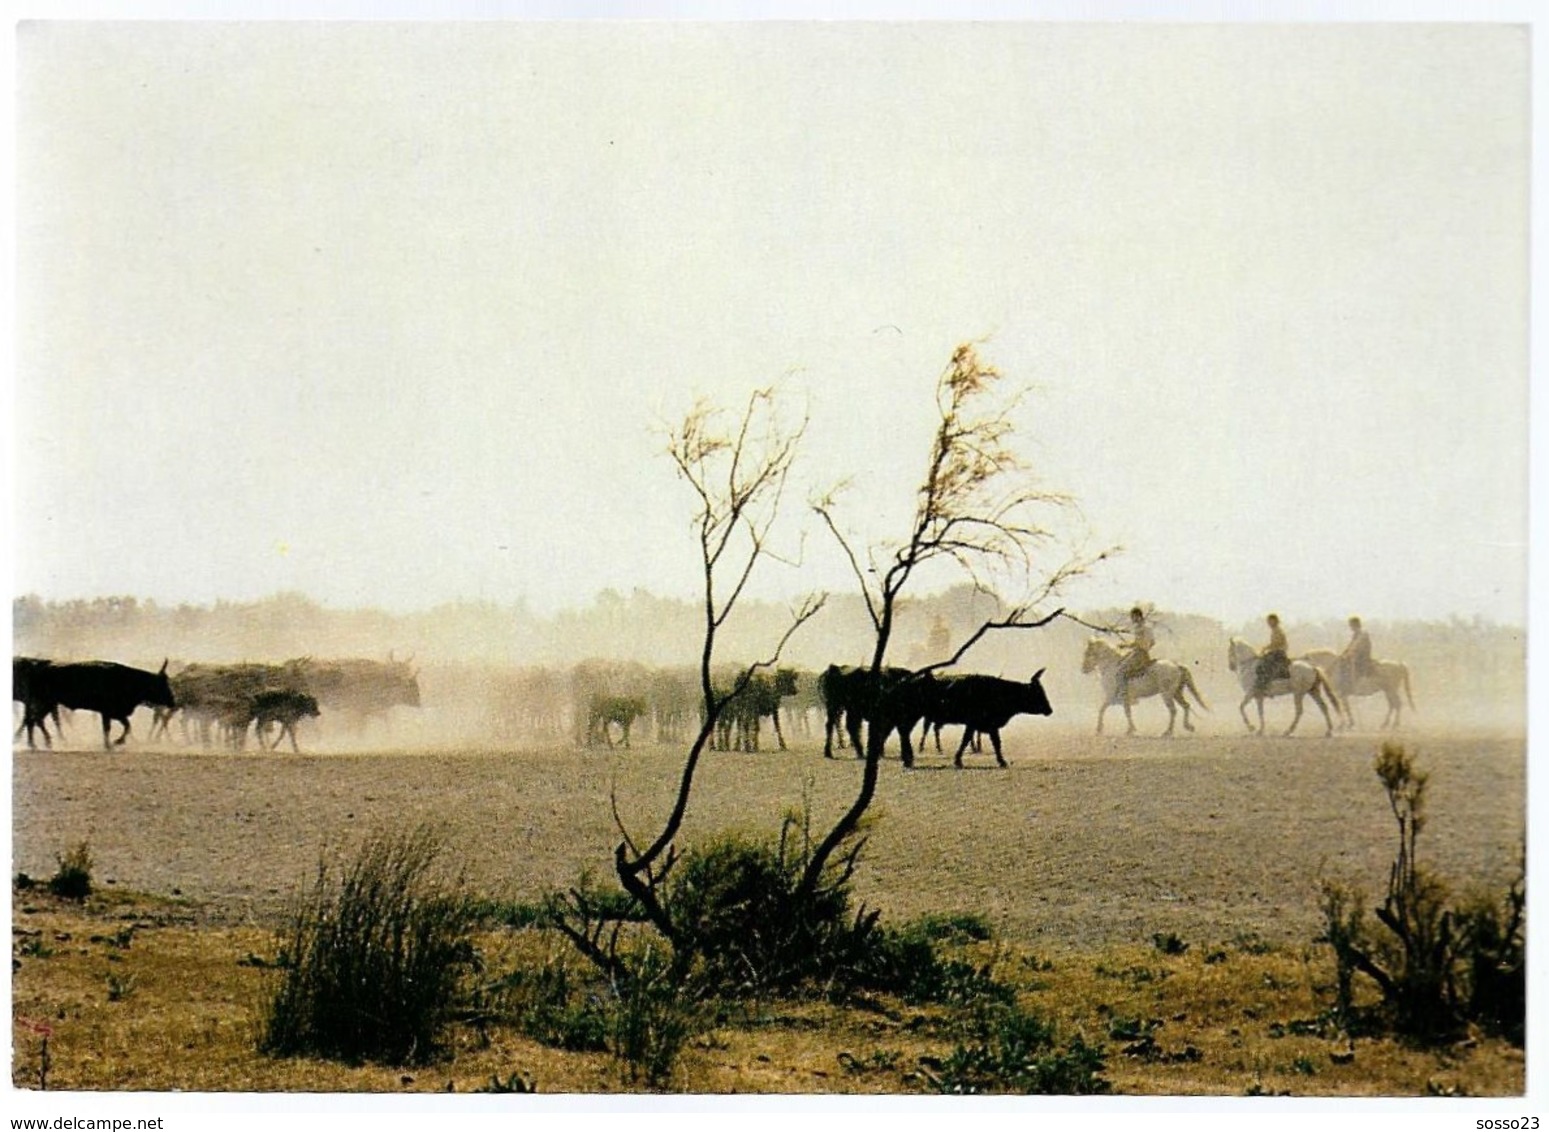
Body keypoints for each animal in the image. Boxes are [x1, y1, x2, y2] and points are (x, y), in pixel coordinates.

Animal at [20, 659, 177, 749]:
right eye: (163, 685)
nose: (173, 701)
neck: (129, 679)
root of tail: (38, 668)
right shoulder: (108, 712)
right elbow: (111, 728)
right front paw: (113, 743)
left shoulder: (115, 713)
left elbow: (126, 726)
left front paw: (114, 742)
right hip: (44, 702)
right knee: (33, 719)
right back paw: (38, 743)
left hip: (48, 703)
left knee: (34, 720)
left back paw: (37, 743)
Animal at [824, 662, 1053, 771]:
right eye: (1039, 692)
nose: (1050, 710)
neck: (995, 690)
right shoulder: (976, 722)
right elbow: (970, 741)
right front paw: (960, 760)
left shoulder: (982, 724)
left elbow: (990, 742)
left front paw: (999, 760)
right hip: (908, 714)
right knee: (900, 731)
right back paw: (905, 758)